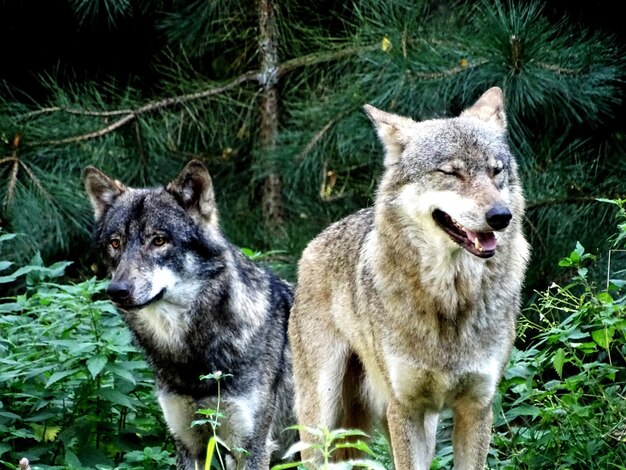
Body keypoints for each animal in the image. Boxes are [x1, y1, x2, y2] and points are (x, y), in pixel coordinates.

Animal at [286, 86, 528, 468]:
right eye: (451, 173)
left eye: (495, 171)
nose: (501, 216)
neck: (450, 300)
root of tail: (314, 242)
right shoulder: (405, 409)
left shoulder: (476, 408)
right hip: (322, 421)